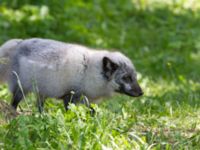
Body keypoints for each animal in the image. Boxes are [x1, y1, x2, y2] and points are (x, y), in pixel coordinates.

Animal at [1, 38, 143, 111]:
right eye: (126, 78)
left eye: (134, 77)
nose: (141, 93)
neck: (90, 71)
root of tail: (18, 44)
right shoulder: (70, 97)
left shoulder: (86, 100)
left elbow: (93, 112)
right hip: (21, 89)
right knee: (13, 104)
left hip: (42, 92)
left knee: (39, 107)